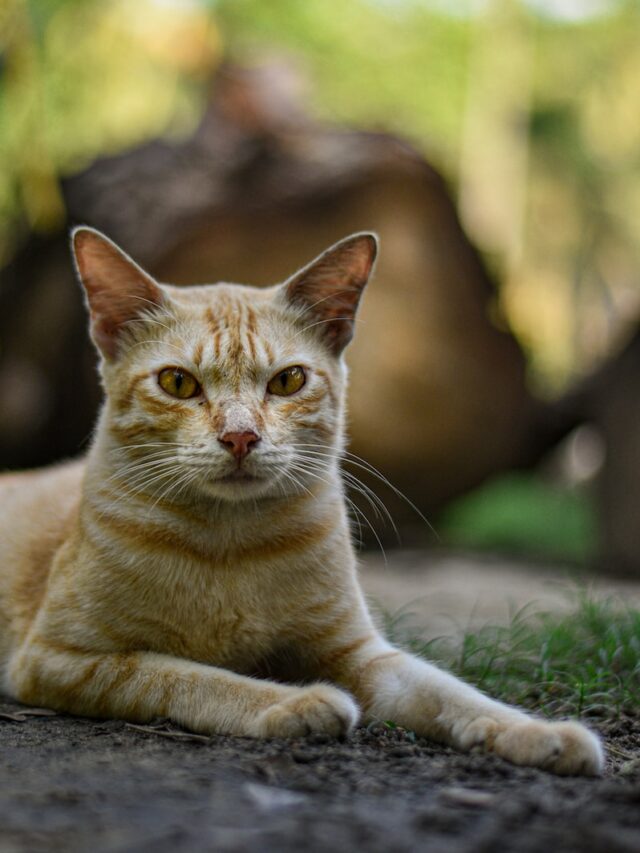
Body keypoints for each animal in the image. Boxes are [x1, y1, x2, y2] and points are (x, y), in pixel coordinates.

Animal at [0, 230, 604, 776]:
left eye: (288, 381)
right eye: (178, 383)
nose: (240, 437)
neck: (230, 546)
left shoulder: (361, 654)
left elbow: (449, 691)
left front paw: (539, 733)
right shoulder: (60, 660)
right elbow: (187, 675)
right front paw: (294, 701)